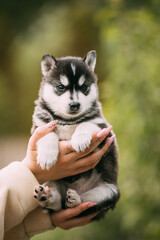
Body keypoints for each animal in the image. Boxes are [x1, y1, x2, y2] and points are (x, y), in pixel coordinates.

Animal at [32, 50, 120, 219]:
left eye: (84, 87)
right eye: (60, 87)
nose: (74, 105)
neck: (68, 121)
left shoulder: (102, 127)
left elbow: (86, 124)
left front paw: (79, 139)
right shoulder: (39, 126)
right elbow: (48, 134)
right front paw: (47, 156)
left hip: (109, 191)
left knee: (85, 203)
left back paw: (75, 199)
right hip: (51, 181)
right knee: (58, 204)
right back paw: (46, 197)